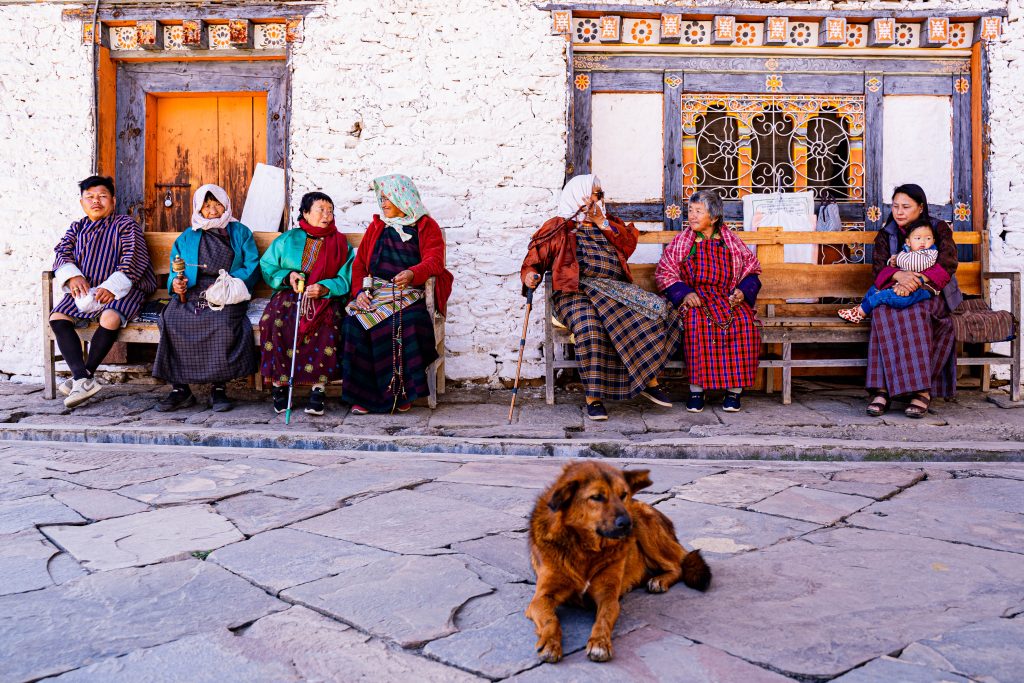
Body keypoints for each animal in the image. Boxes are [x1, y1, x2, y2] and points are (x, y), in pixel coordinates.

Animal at [524, 458, 708, 663]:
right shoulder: (541, 598)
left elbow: (603, 619)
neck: (586, 549)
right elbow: (551, 620)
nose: (627, 524)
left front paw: (599, 643)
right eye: (597, 497)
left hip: (643, 524)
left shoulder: (608, 596)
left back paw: (659, 580)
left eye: (623, 495)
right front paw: (550, 642)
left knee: (678, 565)